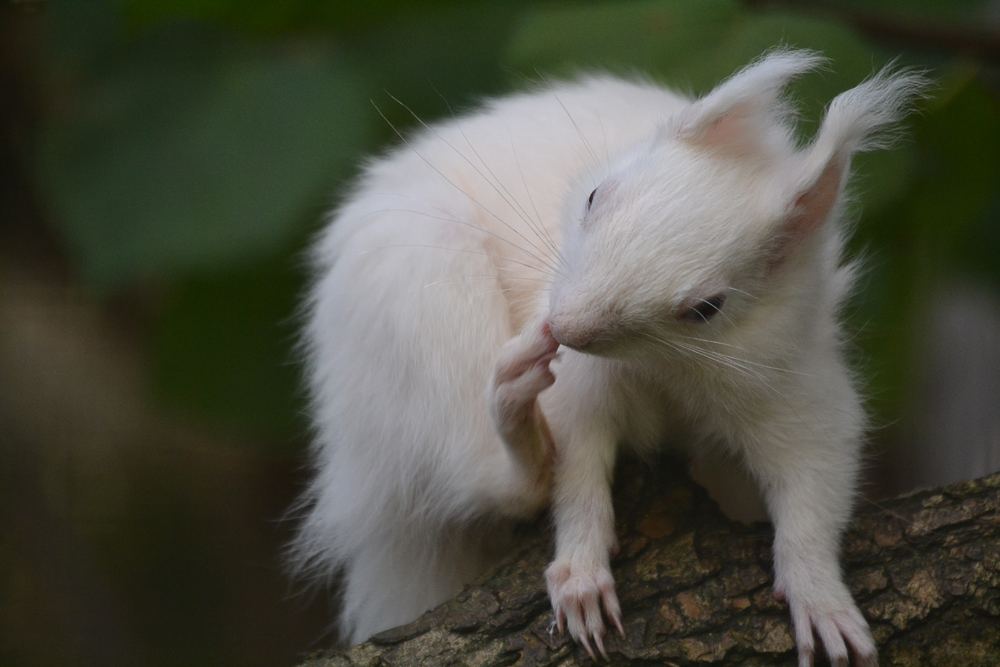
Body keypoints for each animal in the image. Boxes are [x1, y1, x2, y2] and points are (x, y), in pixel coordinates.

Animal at [290, 51, 928, 667]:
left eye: (707, 307)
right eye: (597, 194)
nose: (562, 326)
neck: (665, 370)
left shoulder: (790, 373)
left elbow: (814, 485)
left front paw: (822, 600)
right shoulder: (580, 384)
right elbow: (577, 466)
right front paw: (581, 575)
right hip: (416, 296)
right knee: (490, 478)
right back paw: (515, 410)